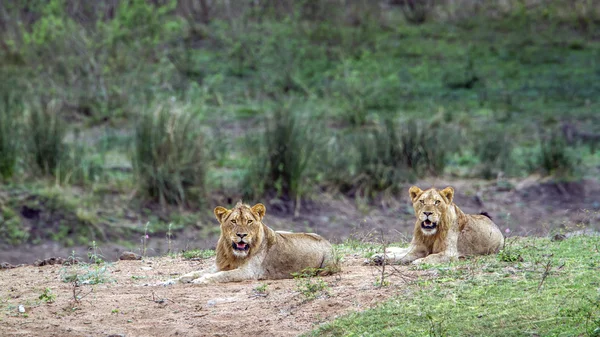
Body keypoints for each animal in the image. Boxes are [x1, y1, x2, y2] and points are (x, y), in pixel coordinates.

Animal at [372, 185, 504, 264]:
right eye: (422, 201)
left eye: (437, 202)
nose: (427, 213)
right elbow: (399, 255)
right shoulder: (418, 249)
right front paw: (379, 258)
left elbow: (432, 256)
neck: (430, 234)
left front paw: (419, 262)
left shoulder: (450, 254)